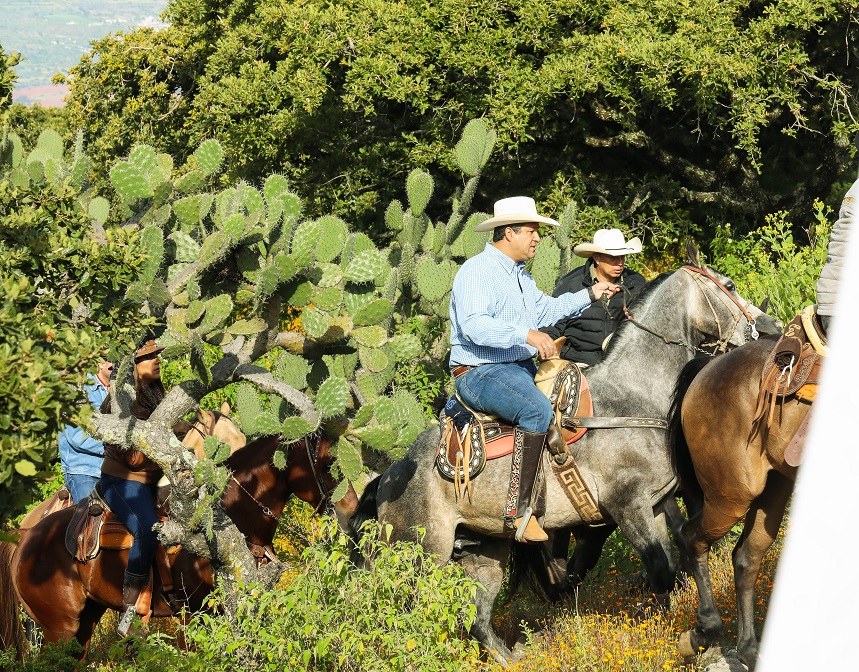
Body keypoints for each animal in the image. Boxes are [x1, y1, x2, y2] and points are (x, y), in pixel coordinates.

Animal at [0, 434, 356, 660]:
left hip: (84, 623)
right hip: (58, 629)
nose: (351, 510)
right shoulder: (193, 614)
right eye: (328, 463)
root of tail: (25, 537)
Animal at [348, 249, 780, 664]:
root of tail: (389, 477)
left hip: (485, 552)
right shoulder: (627, 504)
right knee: (401, 613)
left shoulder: (656, 504)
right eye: (729, 285)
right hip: (421, 555)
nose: (771, 327)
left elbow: (669, 567)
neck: (631, 395)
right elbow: (659, 570)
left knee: (479, 617)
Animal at [668, 338, 808, 668]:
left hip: (772, 490)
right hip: (731, 497)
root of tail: (708, 366)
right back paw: (704, 629)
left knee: (746, 558)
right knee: (691, 538)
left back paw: (749, 650)